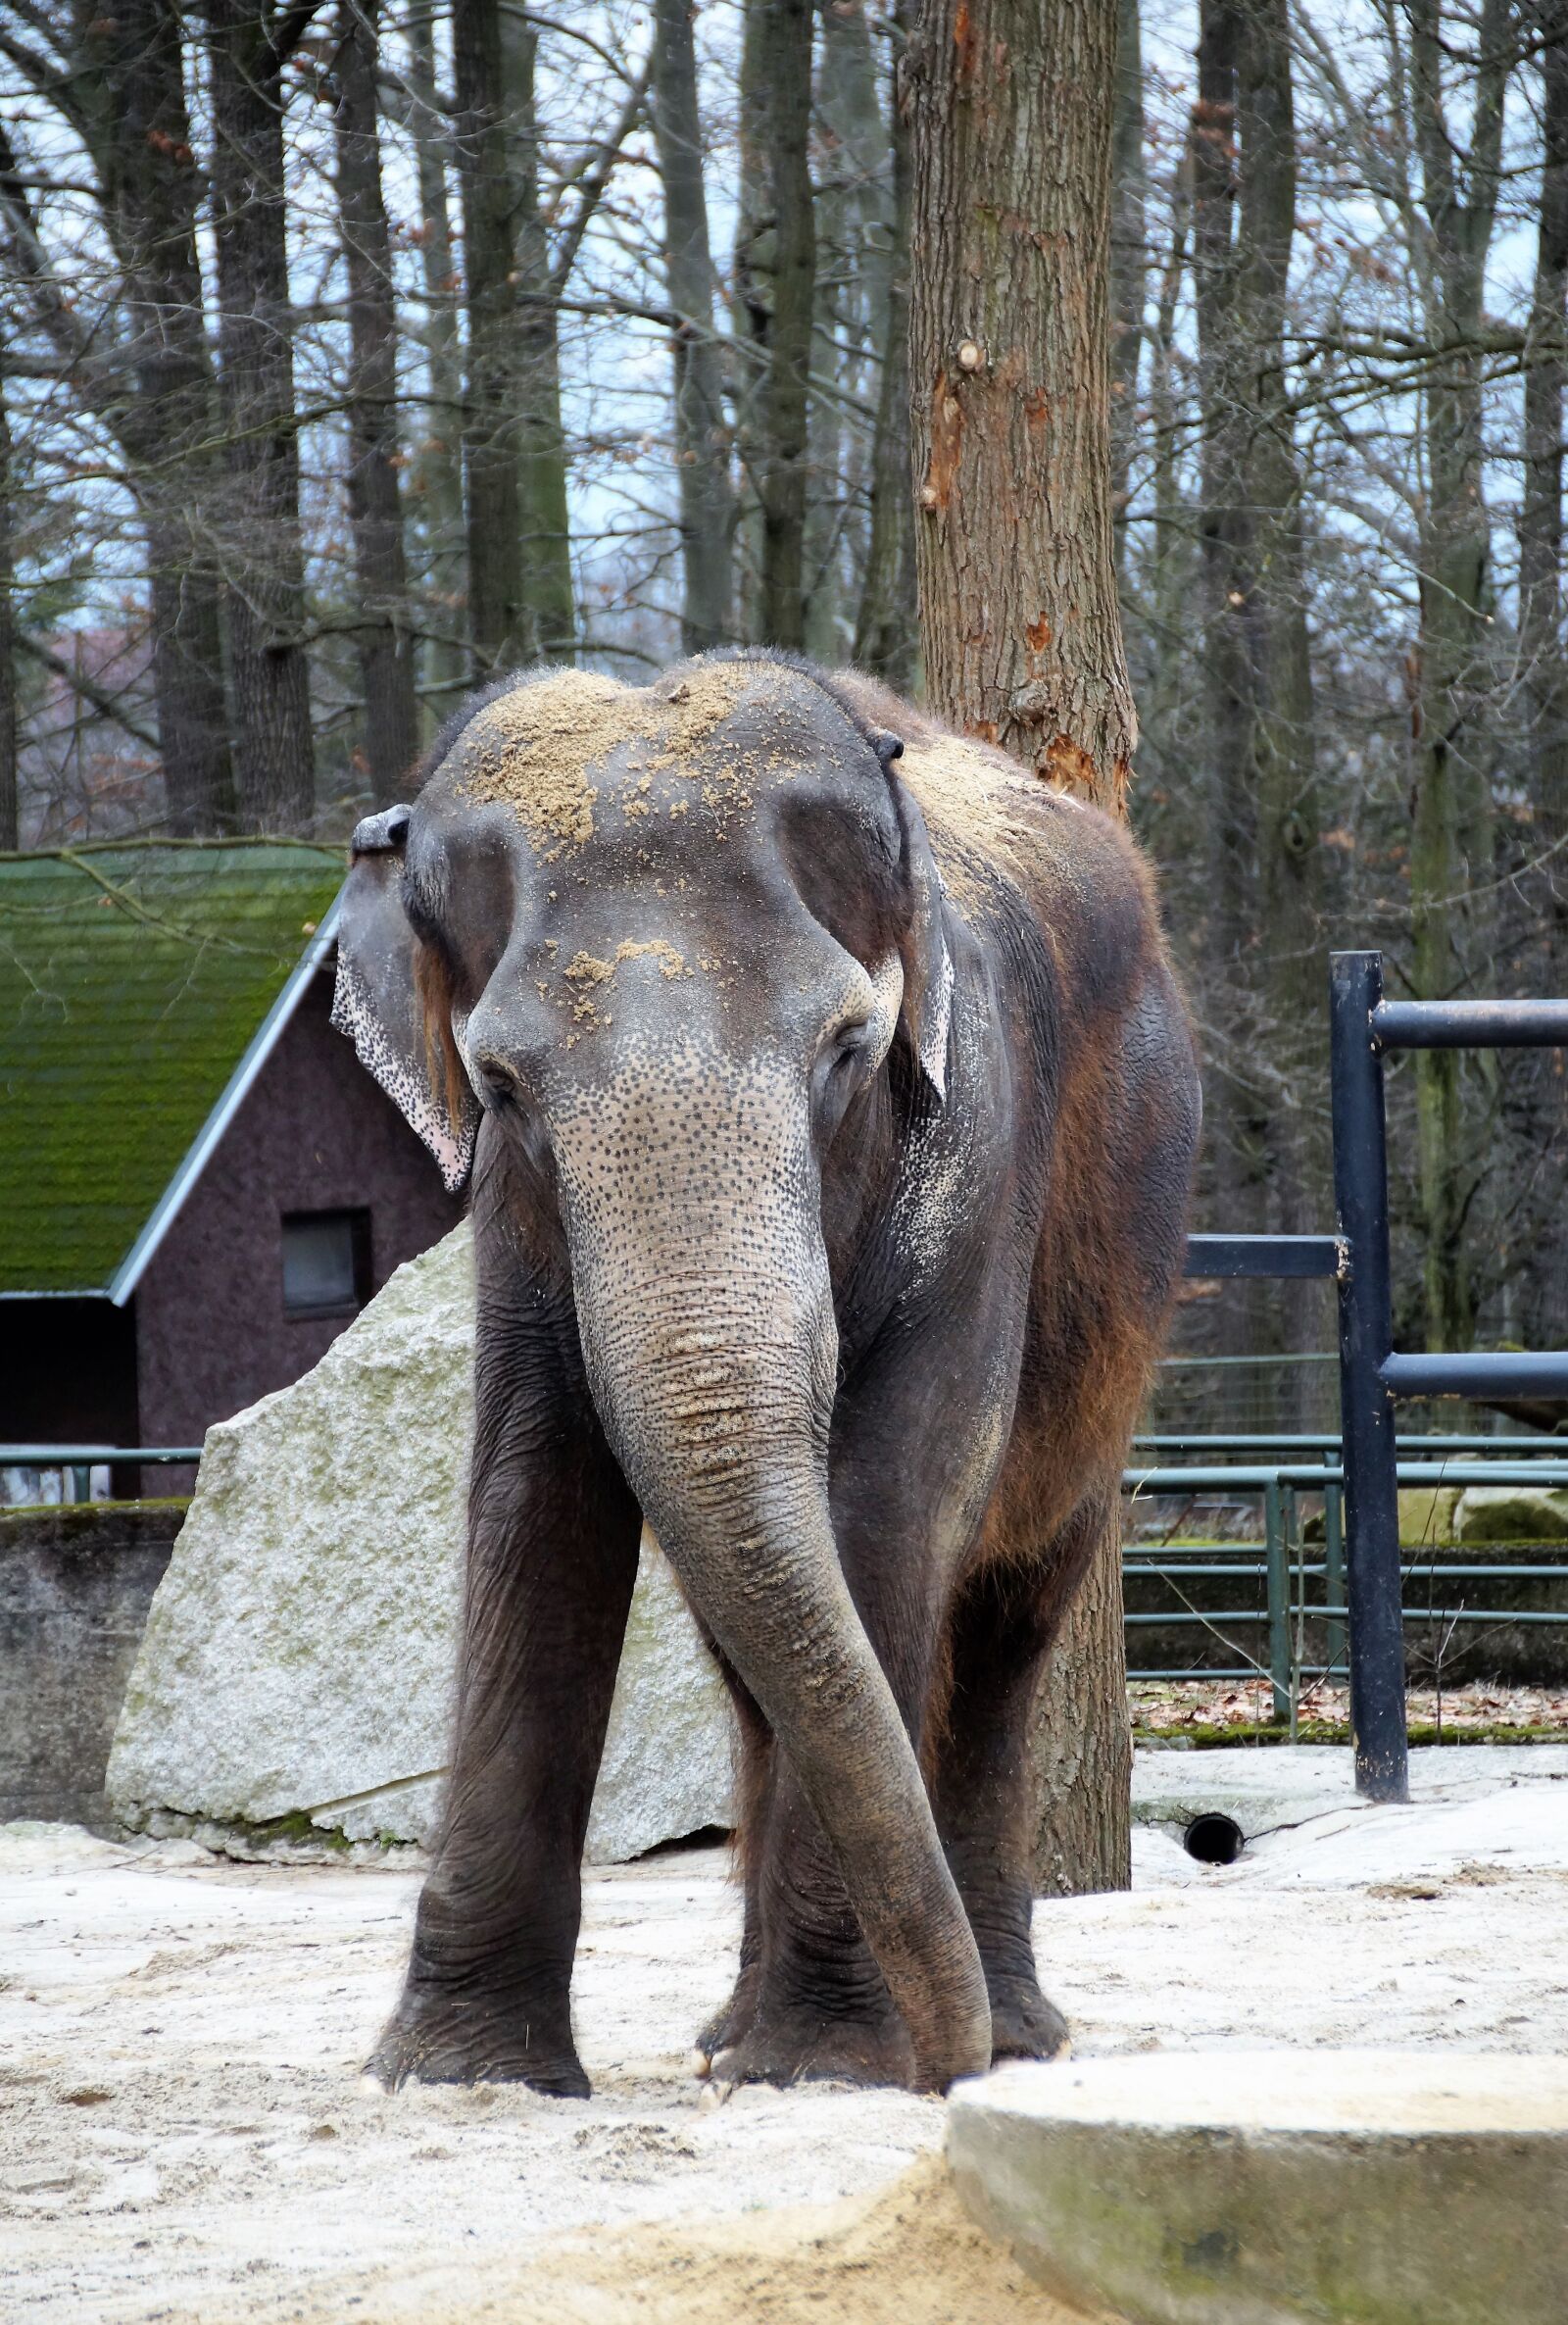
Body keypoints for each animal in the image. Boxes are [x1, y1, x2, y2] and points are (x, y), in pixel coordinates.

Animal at [332, 650, 1200, 2099]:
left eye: (847, 1049)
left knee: (1008, 1614)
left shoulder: (981, 1134)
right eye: (500, 1085)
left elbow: (891, 1494)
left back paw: (998, 2035)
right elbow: (534, 1487)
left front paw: (832, 2066)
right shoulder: (511, 1210)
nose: (942, 2063)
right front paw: (464, 2076)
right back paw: (738, 2039)